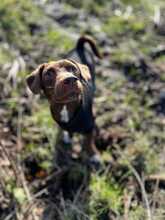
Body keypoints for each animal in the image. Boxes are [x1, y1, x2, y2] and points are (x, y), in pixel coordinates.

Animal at [26, 35, 102, 163]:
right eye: (48, 73)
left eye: (73, 68)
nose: (70, 79)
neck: (66, 106)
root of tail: (79, 47)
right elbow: (67, 130)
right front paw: (68, 136)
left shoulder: (90, 127)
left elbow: (88, 141)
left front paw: (93, 154)